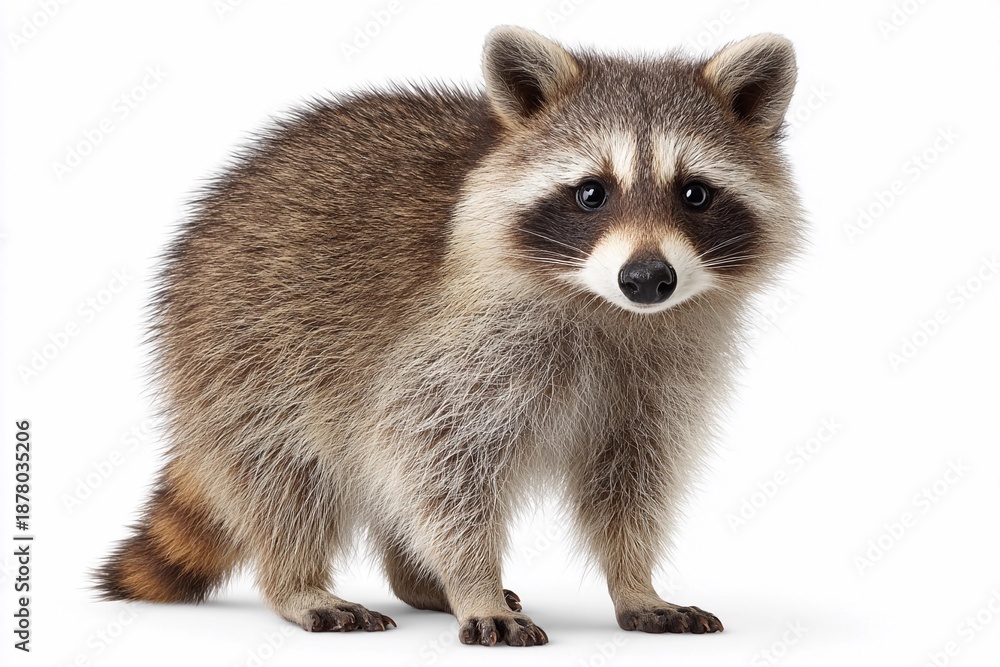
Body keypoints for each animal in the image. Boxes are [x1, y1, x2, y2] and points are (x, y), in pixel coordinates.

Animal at [95, 26, 802, 646]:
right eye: (591, 193)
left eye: (694, 194)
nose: (649, 278)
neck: (608, 308)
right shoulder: (456, 346)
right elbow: (441, 464)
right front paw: (473, 583)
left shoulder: (662, 371)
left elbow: (630, 479)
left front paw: (634, 580)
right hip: (240, 350)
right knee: (283, 473)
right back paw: (298, 582)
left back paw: (414, 578)